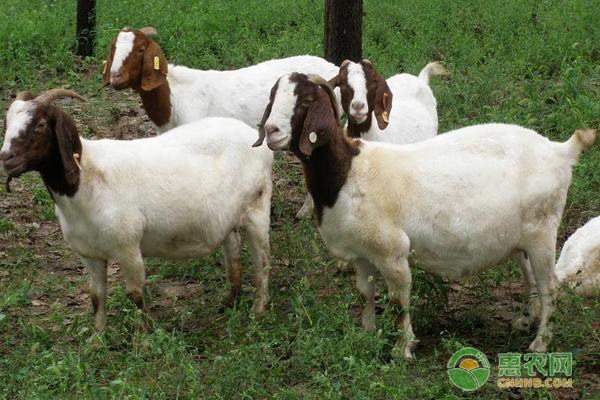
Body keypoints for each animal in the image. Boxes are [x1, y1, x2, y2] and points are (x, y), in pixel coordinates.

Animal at [1, 90, 274, 332]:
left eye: (40, 124)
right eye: (8, 122)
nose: (6, 157)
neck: (86, 177)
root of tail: (255, 137)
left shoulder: (128, 247)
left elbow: (134, 295)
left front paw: (141, 339)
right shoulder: (89, 253)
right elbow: (96, 296)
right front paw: (97, 339)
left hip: (257, 205)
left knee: (262, 259)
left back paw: (258, 309)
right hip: (225, 218)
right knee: (233, 250)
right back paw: (229, 301)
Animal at [255, 72, 596, 360]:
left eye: (306, 100)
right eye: (272, 95)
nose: (271, 130)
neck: (348, 172)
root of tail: (560, 151)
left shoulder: (392, 252)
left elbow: (398, 301)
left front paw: (402, 349)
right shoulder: (362, 254)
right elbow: (365, 294)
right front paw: (366, 334)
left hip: (542, 231)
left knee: (551, 286)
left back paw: (540, 343)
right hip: (520, 238)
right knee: (531, 278)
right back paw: (525, 320)